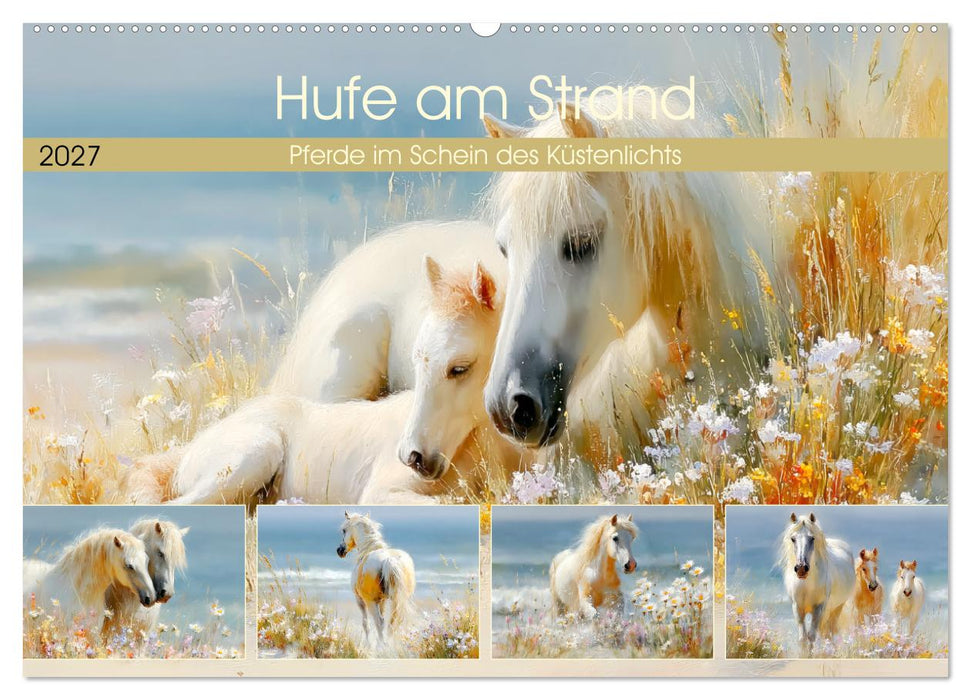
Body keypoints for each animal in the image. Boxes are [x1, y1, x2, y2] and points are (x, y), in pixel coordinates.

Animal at [337, 511, 415, 647]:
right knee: (393, 622)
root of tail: (389, 560)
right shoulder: (382, 600)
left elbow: (366, 624)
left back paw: (381, 646)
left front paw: (369, 644)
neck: (369, 549)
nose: (340, 550)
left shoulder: (360, 600)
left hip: (370, 602)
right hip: (398, 599)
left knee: (379, 622)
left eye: (344, 530)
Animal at [779, 513, 855, 652]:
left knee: (831, 632)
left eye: (812, 538)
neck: (807, 585)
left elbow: (812, 636)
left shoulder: (819, 608)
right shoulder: (797, 608)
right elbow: (803, 638)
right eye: (793, 539)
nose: (801, 568)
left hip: (837, 608)